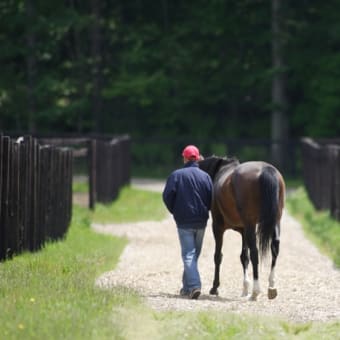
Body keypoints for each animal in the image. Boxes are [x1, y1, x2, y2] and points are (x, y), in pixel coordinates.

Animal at [198, 156, 286, 300]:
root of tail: (266, 170)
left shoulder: (218, 227)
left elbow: (218, 256)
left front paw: (215, 287)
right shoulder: (244, 230)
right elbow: (244, 257)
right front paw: (245, 289)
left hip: (250, 225)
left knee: (255, 252)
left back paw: (255, 291)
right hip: (275, 221)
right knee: (275, 247)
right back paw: (271, 286)